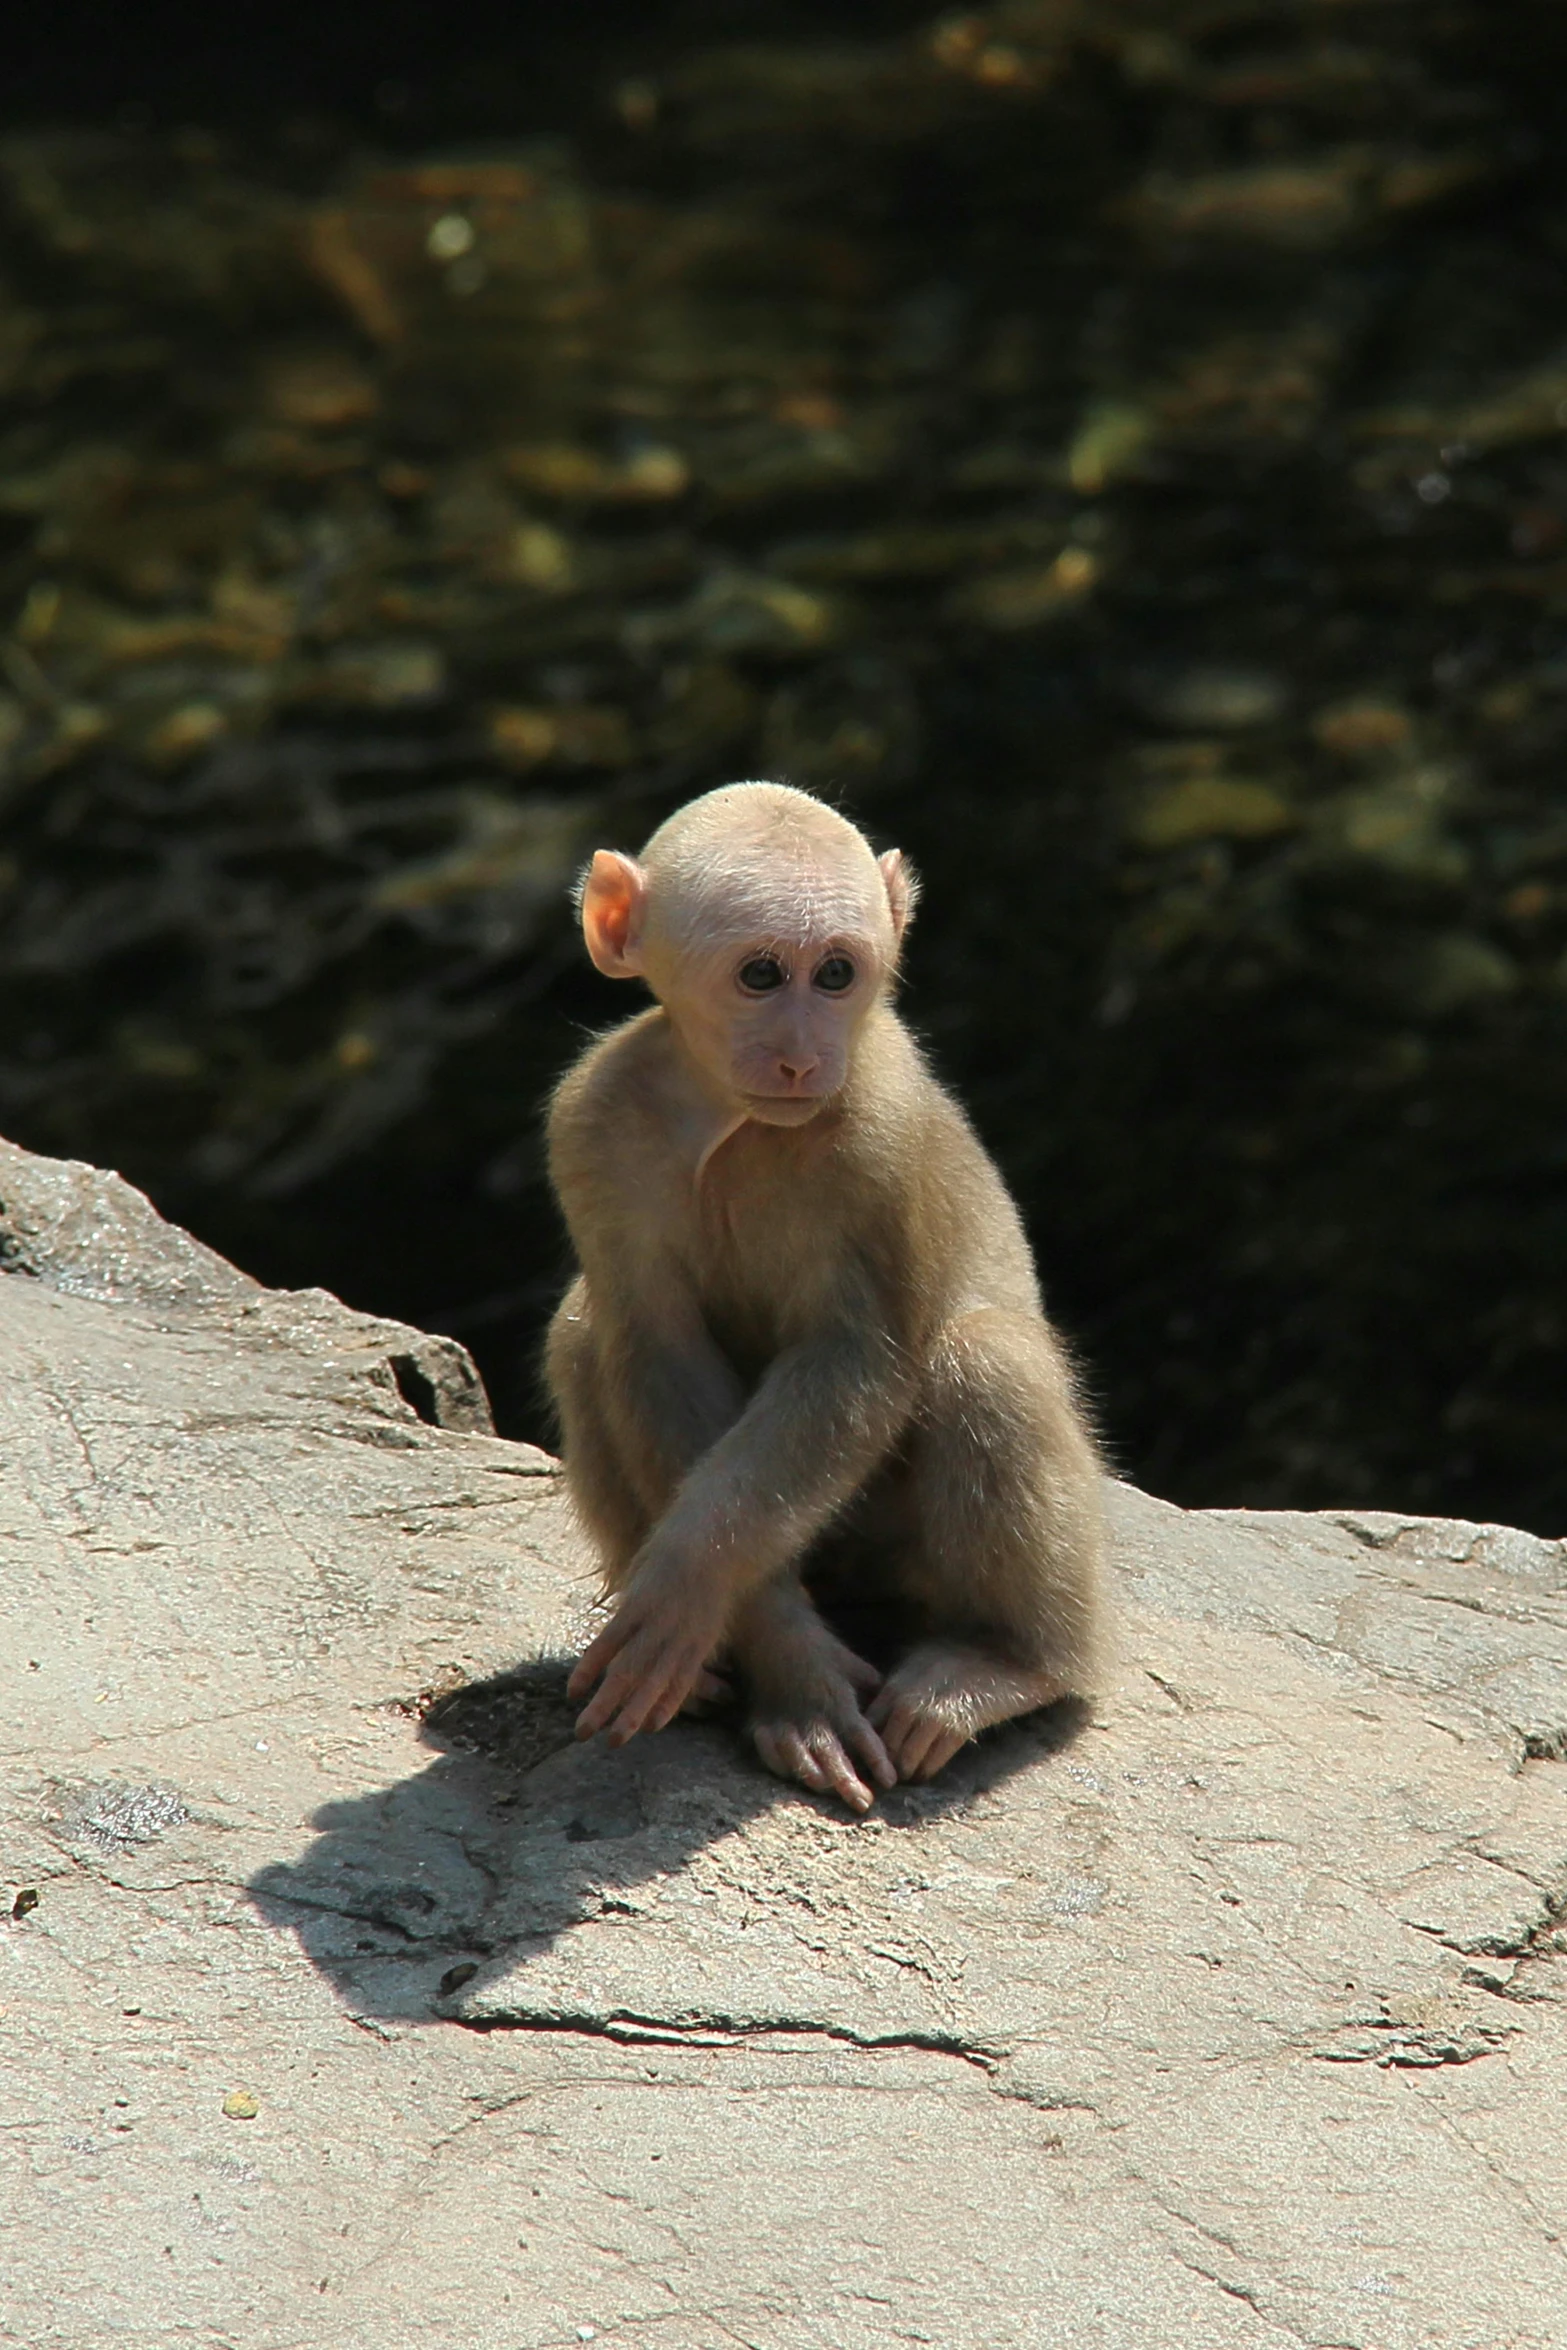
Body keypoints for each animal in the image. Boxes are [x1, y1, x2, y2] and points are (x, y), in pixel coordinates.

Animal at [549, 780, 1104, 1804]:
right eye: (763, 975)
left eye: (837, 974)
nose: (805, 1057)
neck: (734, 1122)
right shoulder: (591, 1122)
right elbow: (655, 1345)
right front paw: (784, 1665)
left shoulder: (882, 1130)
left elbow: (857, 1362)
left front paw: (691, 1579)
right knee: (582, 1327)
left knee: (983, 1362)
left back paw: (1009, 1665)